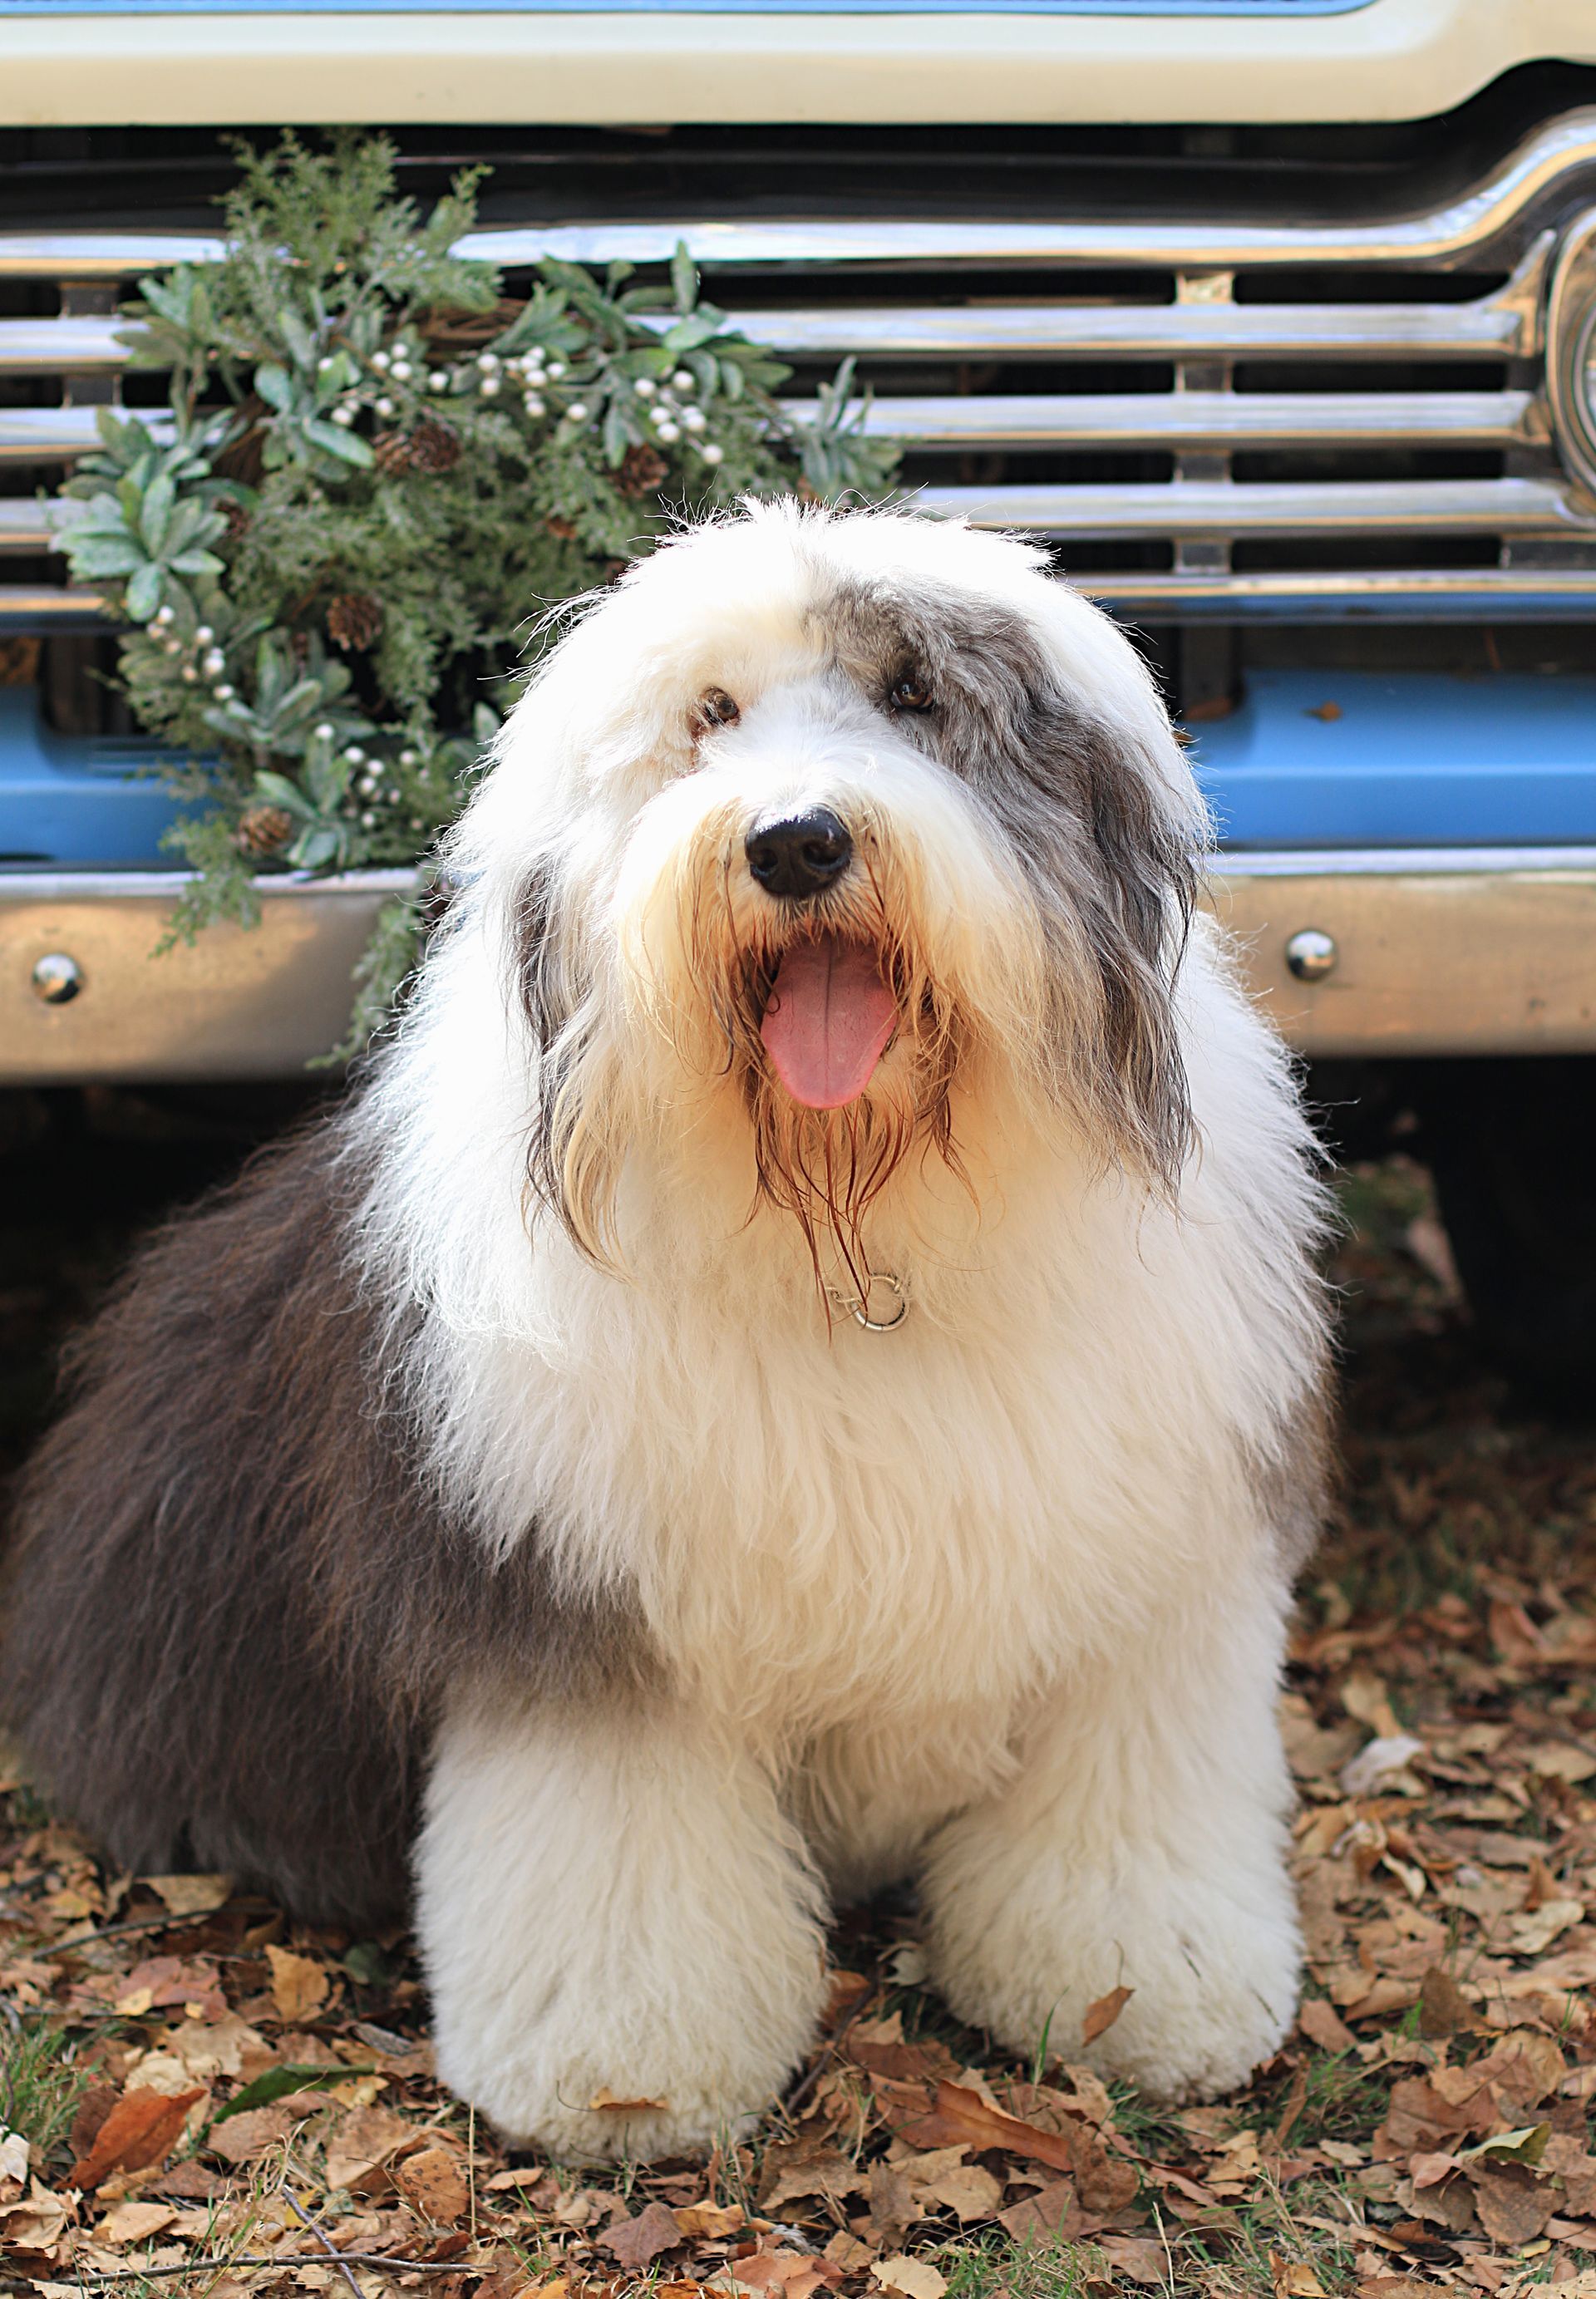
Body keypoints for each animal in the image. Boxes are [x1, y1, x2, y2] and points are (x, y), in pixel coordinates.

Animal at [0, 499, 1333, 2151]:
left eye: (915, 697)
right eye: (710, 717)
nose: (797, 840)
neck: (858, 1231)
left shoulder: (1152, 1589)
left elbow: (1128, 1795)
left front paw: (1143, 1994)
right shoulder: (583, 1617)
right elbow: (619, 1854)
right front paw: (620, 2075)